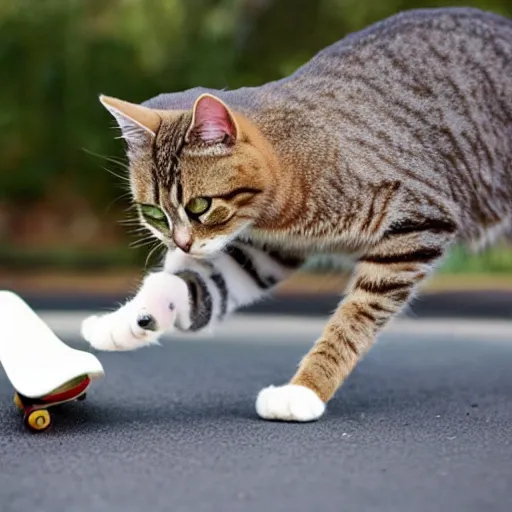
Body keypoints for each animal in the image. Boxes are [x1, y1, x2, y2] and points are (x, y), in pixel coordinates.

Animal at [82, 8, 512, 422]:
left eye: (199, 205)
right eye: (154, 212)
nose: (181, 243)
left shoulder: (416, 227)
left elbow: (353, 319)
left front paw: (306, 388)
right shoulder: (268, 251)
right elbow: (194, 283)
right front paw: (127, 319)